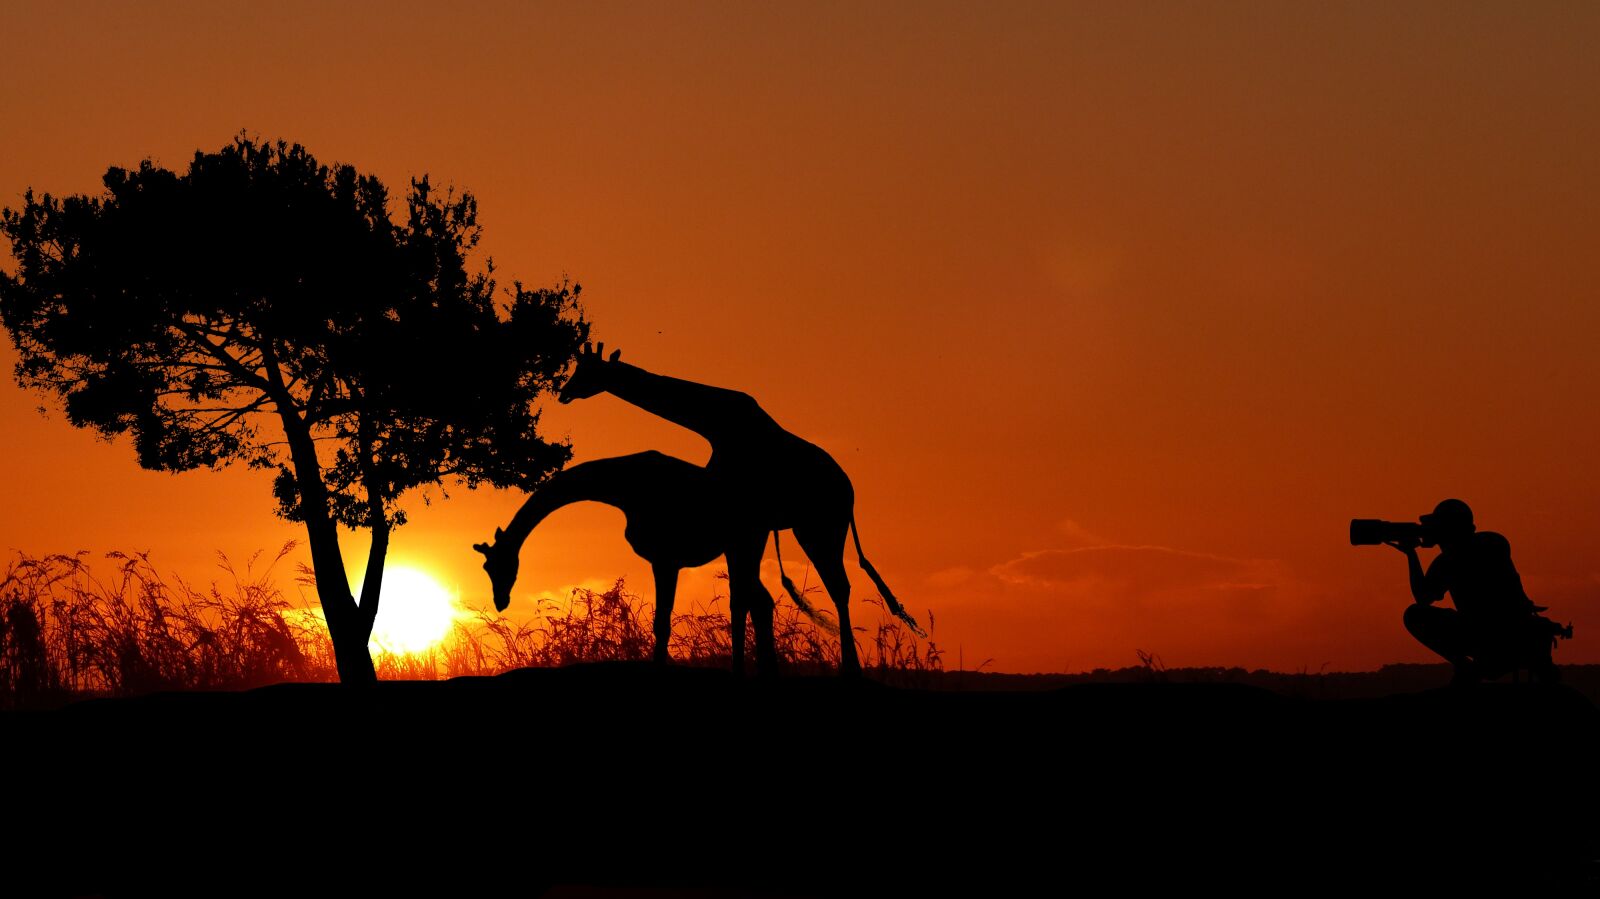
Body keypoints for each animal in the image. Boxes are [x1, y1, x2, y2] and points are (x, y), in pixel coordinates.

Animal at [473, 451, 797, 668]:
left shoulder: (665, 558)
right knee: (756, 601)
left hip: (744, 543)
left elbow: (662, 623)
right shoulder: (663, 559)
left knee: (748, 601)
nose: (501, 600)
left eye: (498, 565)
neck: (624, 488)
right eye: (486, 567)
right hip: (740, 546)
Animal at [556, 342, 922, 676]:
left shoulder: (741, 516)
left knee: (840, 586)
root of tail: (849, 492)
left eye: (587, 370)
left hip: (821, 528)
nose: (564, 393)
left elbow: (742, 596)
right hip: (809, 528)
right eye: (577, 368)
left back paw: (851, 669)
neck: (714, 426)